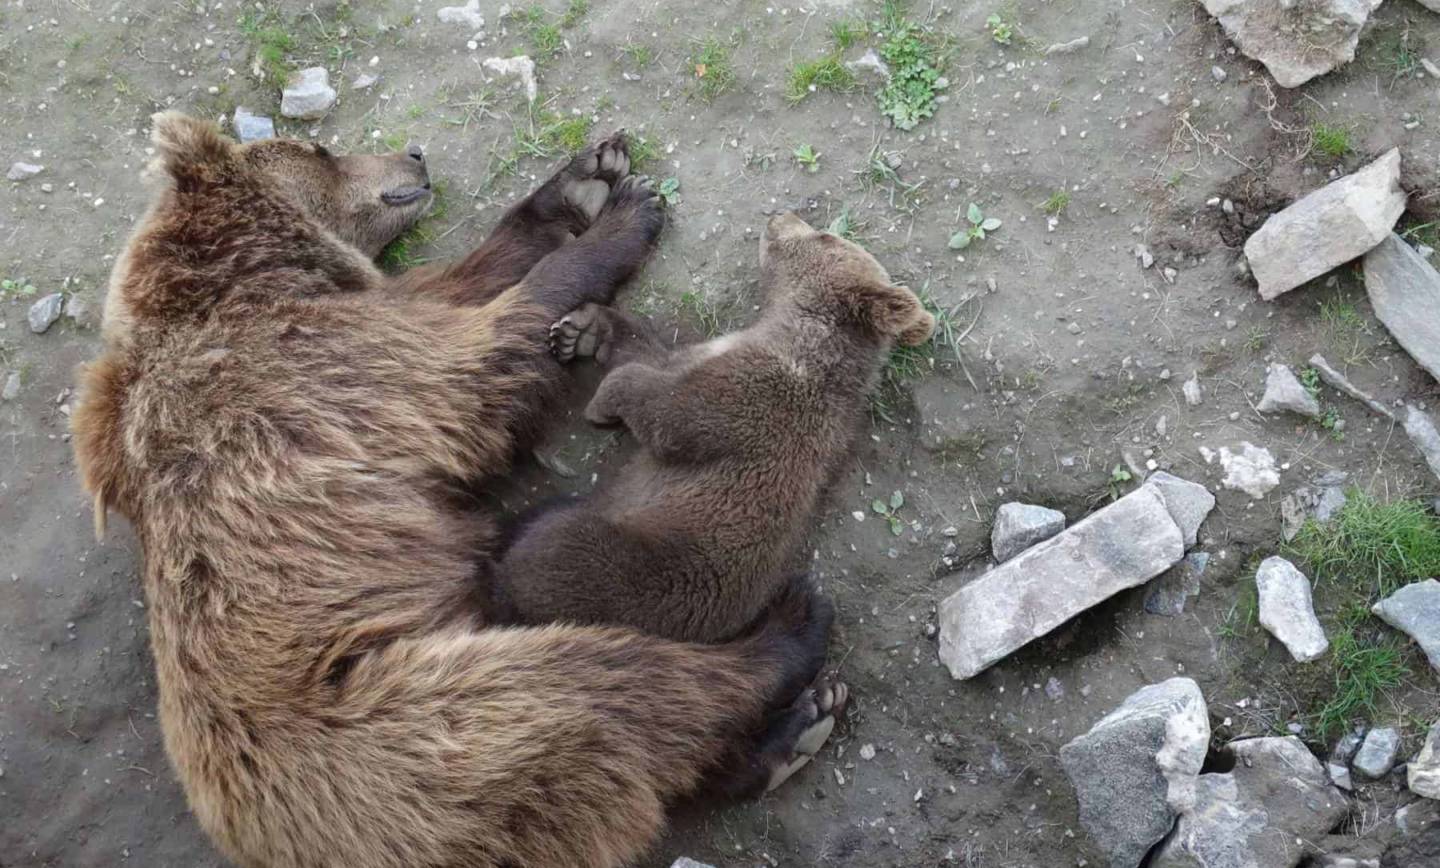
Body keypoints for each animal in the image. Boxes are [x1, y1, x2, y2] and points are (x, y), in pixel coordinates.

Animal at [70, 113, 840, 868]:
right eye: (321, 147)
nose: (412, 152)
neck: (249, 278)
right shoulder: (321, 375)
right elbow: (483, 354)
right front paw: (627, 214)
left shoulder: (381, 307)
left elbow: (473, 276)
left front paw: (586, 178)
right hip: (431, 722)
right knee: (621, 684)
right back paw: (791, 638)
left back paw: (793, 734)